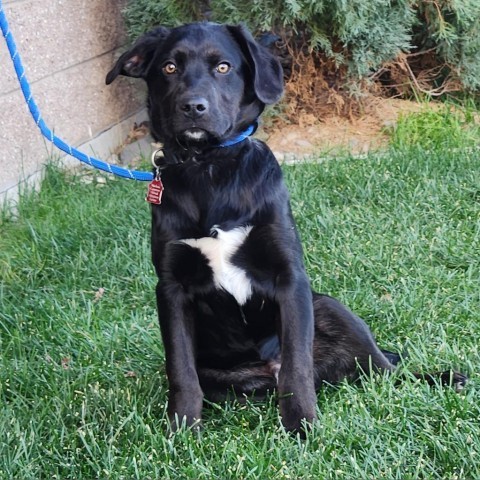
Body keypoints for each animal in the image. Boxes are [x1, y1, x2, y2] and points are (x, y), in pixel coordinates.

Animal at [107, 23, 466, 436]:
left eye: (224, 67)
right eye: (169, 67)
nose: (193, 107)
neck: (210, 169)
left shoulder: (289, 278)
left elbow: (296, 367)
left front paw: (301, 425)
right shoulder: (171, 288)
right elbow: (180, 371)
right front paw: (181, 429)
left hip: (331, 308)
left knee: (383, 370)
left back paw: (442, 378)